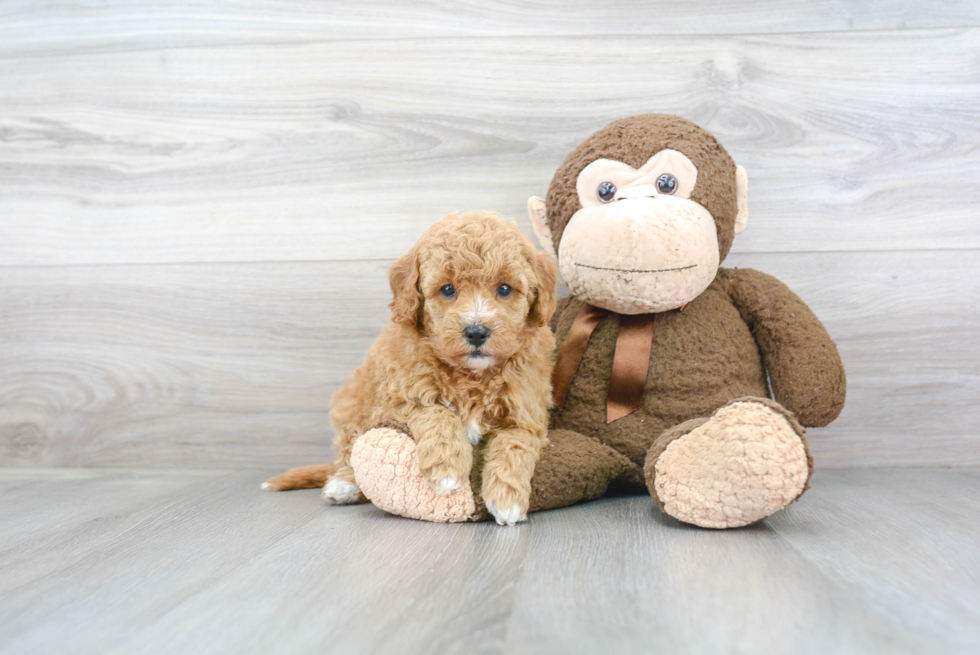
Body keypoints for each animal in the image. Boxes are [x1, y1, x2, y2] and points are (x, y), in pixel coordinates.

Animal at [264, 213, 560, 524]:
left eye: (504, 289)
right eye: (447, 289)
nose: (476, 332)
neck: (471, 374)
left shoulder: (527, 415)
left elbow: (515, 445)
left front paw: (507, 499)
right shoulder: (395, 400)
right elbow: (436, 412)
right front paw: (446, 468)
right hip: (351, 406)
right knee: (348, 454)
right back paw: (343, 484)